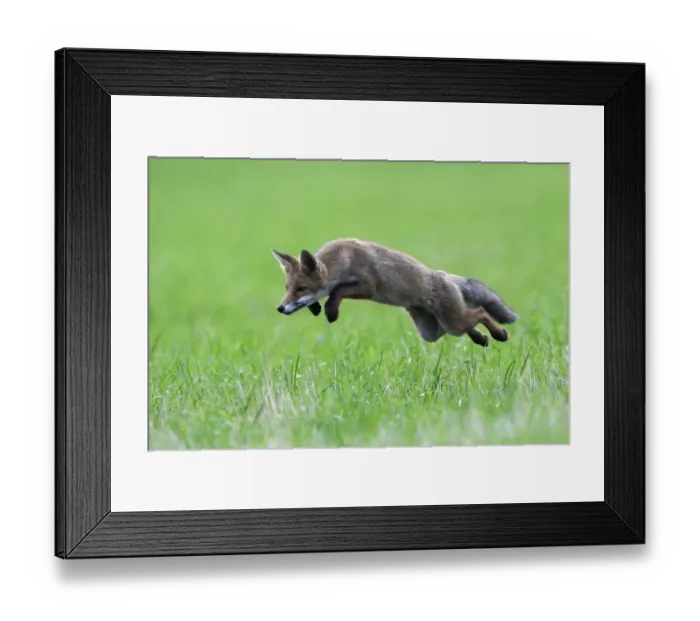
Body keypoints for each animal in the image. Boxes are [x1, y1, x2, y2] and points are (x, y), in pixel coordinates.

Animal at [272, 238, 518, 347]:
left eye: (300, 288)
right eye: (287, 288)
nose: (280, 308)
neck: (342, 259)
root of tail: (444, 275)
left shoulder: (368, 286)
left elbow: (337, 292)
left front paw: (330, 312)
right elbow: (327, 295)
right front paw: (315, 307)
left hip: (452, 322)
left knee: (481, 312)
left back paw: (499, 335)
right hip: (435, 331)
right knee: (471, 324)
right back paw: (482, 339)